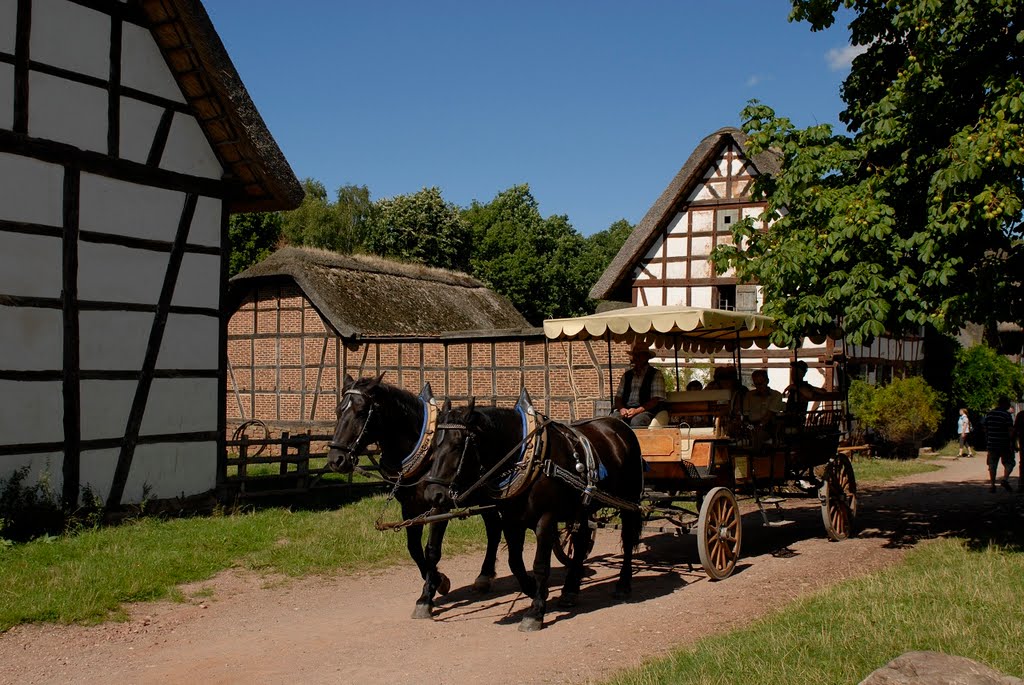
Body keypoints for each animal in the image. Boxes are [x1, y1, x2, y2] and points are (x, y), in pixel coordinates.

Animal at [327, 374, 503, 618]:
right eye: (338, 410)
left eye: (362, 412)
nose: (336, 459)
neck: (427, 454)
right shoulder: (409, 507)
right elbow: (414, 549)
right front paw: (439, 581)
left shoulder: (439, 506)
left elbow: (431, 550)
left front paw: (426, 597)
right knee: (494, 528)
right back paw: (484, 577)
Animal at [421, 397, 643, 634]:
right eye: (433, 446)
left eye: (457, 445)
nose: (433, 494)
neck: (532, 458)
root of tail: (619, 426)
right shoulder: (511, 520)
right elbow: (515, 562)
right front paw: (534, 590)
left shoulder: (546, 519)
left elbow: (540, 566)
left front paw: (535, 612)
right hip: (584, 508)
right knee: (581, 541)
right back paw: (570, 590)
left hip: (629, 501)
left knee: (628, 539)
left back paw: (623, 583)